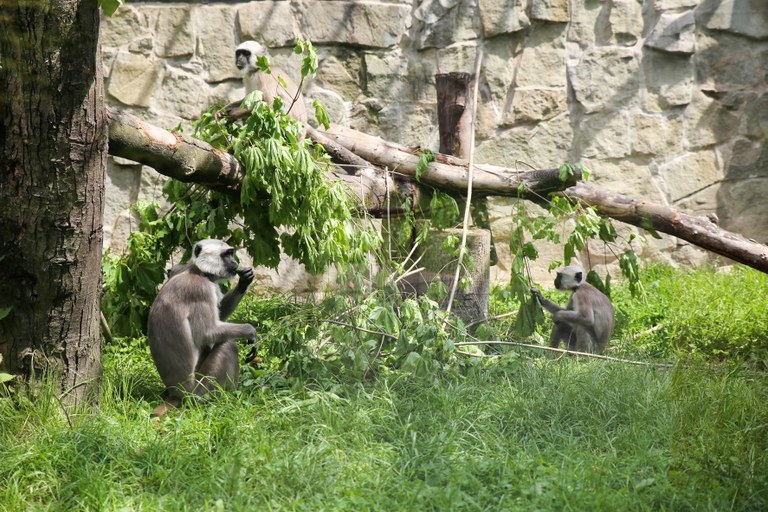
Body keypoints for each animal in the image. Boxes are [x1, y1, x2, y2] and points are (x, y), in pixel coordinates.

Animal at [148, 239, 256, 416]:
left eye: (231, 253)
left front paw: (244, 281)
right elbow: (206, 333)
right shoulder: (201, 289)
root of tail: (176, 393)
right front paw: (250, 331)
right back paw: (233, 394)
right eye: (227, 254)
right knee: (228, 345)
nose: (235, 262)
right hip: (200, 389)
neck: (196, 271)